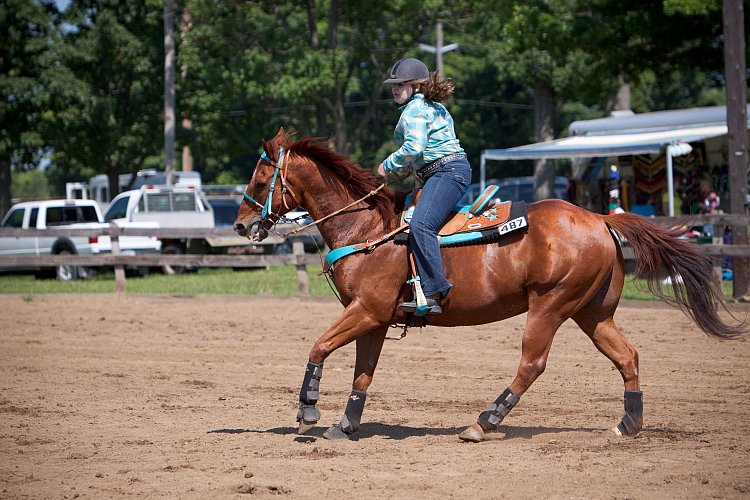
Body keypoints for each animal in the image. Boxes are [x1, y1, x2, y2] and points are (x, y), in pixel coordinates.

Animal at [235, 128, 748, 442]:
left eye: (259, 180)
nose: (241, 226)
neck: (365, 227)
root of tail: (600, 218)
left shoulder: (366, 310)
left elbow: (319, 346)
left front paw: (308, 410)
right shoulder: (375, 319)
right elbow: (364, 372)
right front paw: (346, 424)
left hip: (550, 306)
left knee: (532, 364)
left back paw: (484, 421)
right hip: (593, 312)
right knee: (627, 356)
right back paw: (628, 423)